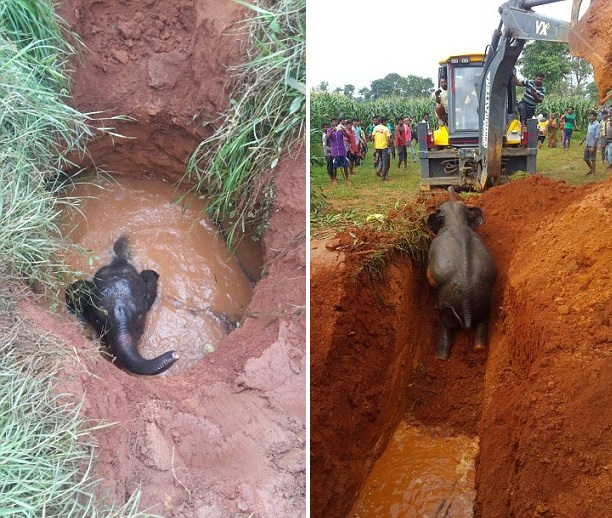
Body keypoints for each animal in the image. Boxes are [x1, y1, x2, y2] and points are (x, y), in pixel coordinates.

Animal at [426, 188, 498, 362]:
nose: (450, 188)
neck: (456, 220)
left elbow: (430, 277)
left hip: (448, 305)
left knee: (445, 325)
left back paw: (440, 357)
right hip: (484, 303)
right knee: (482, 322)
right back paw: (479, 348)